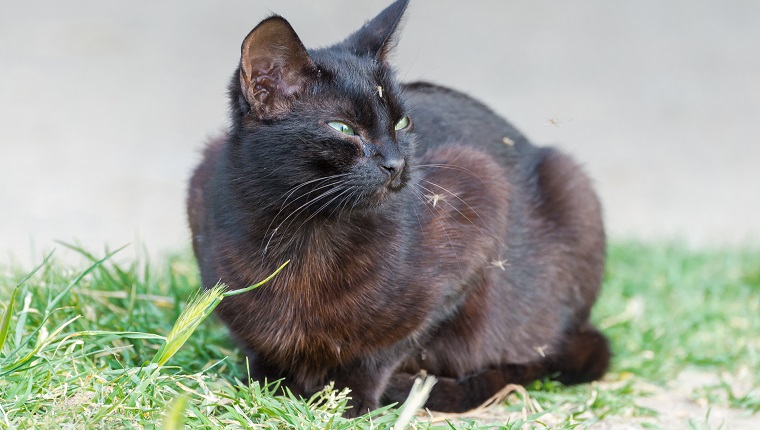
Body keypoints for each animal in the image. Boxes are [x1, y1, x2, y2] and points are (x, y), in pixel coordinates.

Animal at [187, 0, 608, 416]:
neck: (305, 232)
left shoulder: (479, 198)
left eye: (402, 123)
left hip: (569, 185)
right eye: (343, 128)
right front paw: (268, 389)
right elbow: (259, 345)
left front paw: (348, 399)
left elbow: (383, 349)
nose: (397, 163)